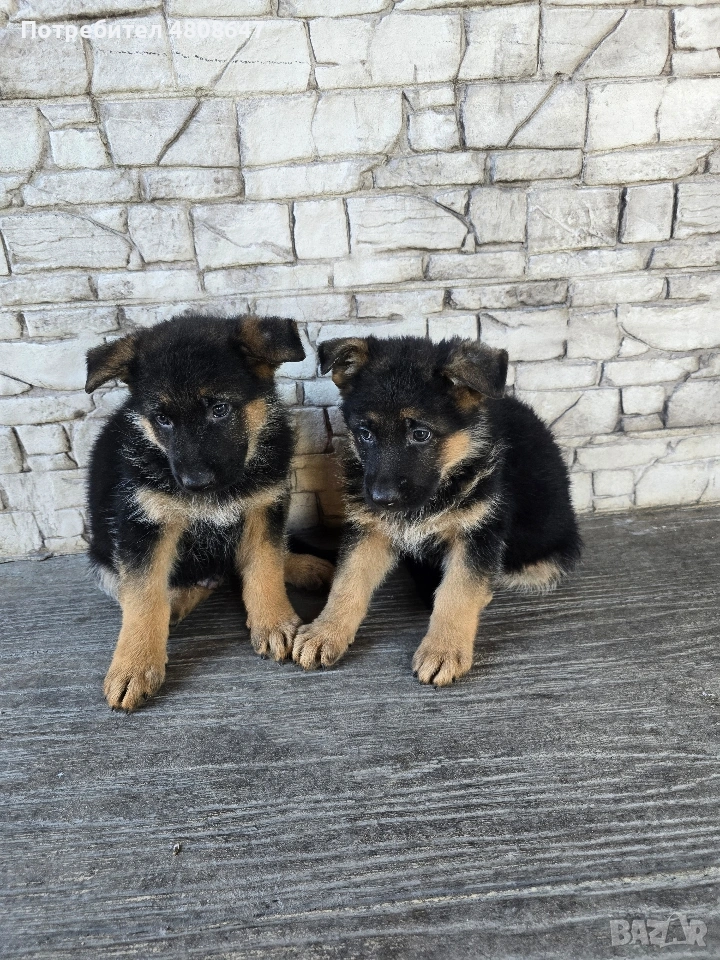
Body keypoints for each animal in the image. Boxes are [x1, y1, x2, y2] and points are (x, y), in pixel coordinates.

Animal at [85, 314, 333, 711]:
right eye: (162, 419)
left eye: (219, 410)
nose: (195, 483)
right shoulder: (143, 524)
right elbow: (143, 598)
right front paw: (135, 664)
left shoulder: (264, 505)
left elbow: (264, 564)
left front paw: (273, 621)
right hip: (101, 558)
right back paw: (177, 603)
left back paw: (300, 566)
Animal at [292, 335, 582, 686]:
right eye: (365, 434)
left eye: (421, 434)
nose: (381, 499)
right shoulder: (370, 529)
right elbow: (347, 581)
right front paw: (326, 631)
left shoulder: (478, 534)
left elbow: (457, 592)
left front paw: (444, 650)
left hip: (541, 563)